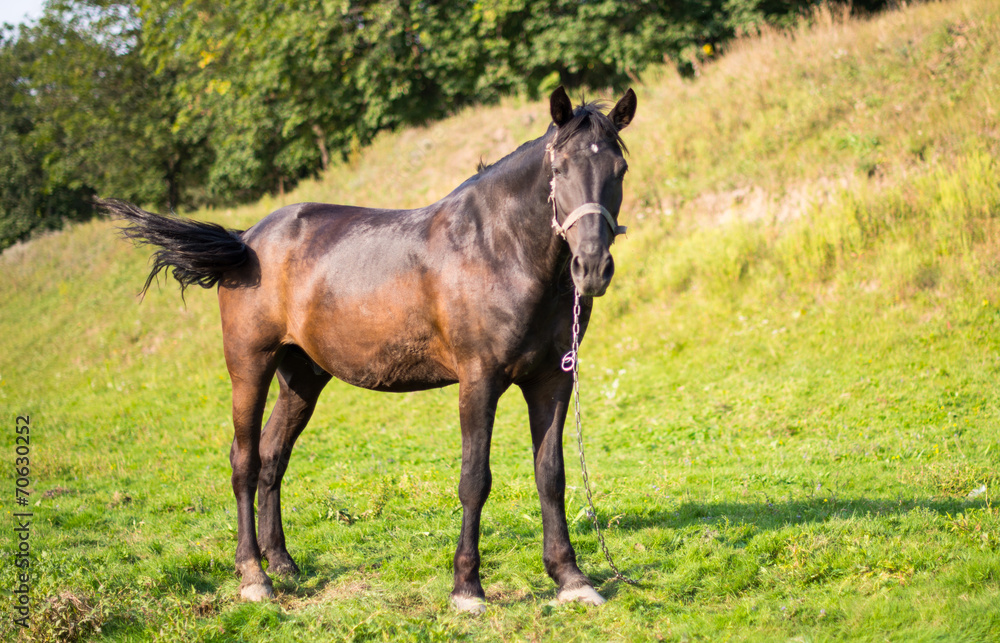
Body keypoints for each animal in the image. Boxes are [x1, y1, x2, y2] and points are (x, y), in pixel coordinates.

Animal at [105, 87, 636, 612]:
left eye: (619, 169)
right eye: (559, 169)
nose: (592, 267)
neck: (500, 249)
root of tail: (245, 241)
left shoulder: (552, 379)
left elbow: (551, 474)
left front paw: (570, 578)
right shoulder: (479, 380)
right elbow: (475, 480)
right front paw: (467, 587)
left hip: (303, 377)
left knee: (274, 455)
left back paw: (282, 562)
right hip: (249, 367)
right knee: (245, 461)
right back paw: (254, 575)